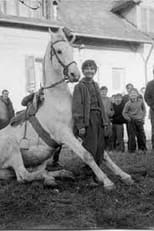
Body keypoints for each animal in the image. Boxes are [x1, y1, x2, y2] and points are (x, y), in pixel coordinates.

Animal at [0, 28, 134, 189]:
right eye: (59, 51)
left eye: (71, 50)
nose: (75, 74)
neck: (58, 101)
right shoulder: (65, 135)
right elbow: (87, 155)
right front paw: (106, 181)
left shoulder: (78, 131)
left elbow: (104, 155)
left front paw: (124, 175)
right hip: (13, 149)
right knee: (23, 175)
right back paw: (50, 178)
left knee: (34, 171)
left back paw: (62, 174)